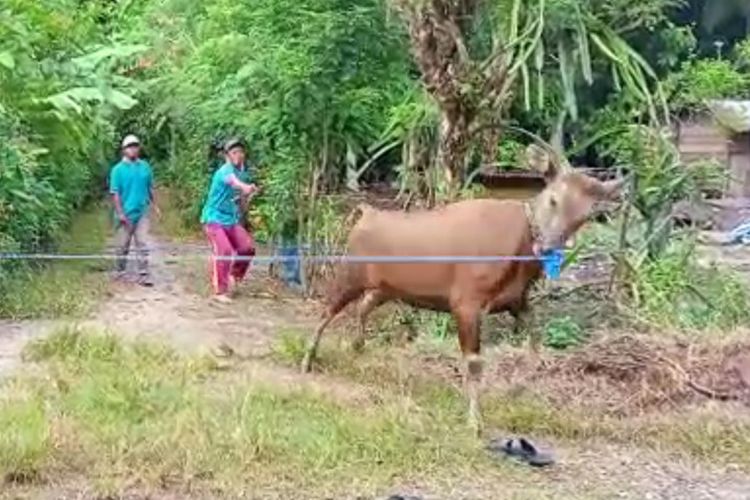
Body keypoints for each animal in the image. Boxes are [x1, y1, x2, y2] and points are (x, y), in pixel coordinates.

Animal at [300, 152, 624, 434]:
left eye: (584, 216)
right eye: (553, 198)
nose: (546, 246)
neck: (518, 250)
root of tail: (366, 213)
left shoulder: (517, 301)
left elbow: (536, 343)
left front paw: (517, 390)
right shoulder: (466, 302)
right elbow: (475, 362)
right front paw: (475, 422)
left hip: (385, 288)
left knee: (363, 306)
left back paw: (357, 345)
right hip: (350, 273)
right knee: (328, 310)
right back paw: (308, 359)